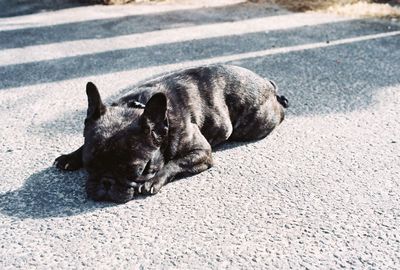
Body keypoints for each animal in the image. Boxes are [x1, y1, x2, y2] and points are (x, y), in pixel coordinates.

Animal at [54, 65, 290, 202]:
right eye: (90, 167)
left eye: (137, 171)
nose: (106, 183)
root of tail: (266, 81)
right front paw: (70, 157)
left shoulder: (201, 152)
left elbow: (174, 163)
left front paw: (153, 181)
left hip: (257, 123)